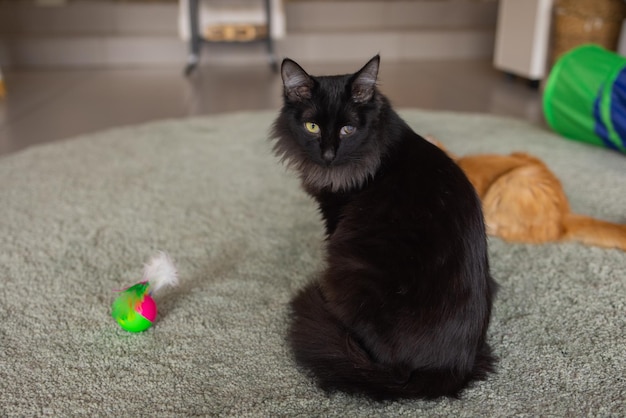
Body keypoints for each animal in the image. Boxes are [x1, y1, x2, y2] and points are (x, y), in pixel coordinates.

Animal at [270, 54, 494, 398]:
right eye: (312, 126)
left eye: (348, 129)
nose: (329, 154)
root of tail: (447, 370)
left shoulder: (335, 217)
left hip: (349, 267)